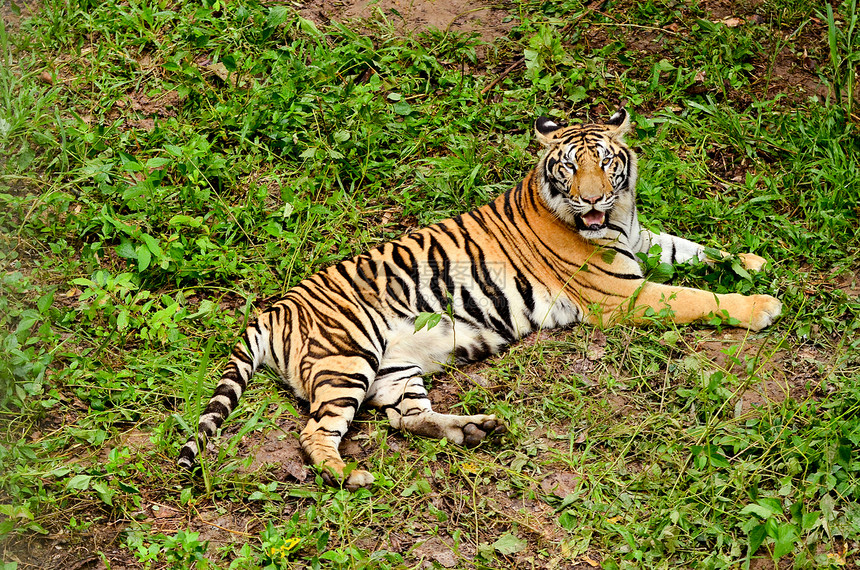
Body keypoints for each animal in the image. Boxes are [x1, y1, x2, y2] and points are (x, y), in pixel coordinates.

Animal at [178, 110, 784, 488]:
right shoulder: (620, 294)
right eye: (570, 167)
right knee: (315, 433)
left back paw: (474, 429)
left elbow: (694, 248)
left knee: (406, 419)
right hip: (348, 358)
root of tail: (275, 306)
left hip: (395, 370)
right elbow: (694, 295)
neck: (618, 217)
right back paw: (354, 476)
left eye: (606, 163)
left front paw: (757, 262)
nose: (592, 200)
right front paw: (762, 305)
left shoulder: (641, 241)